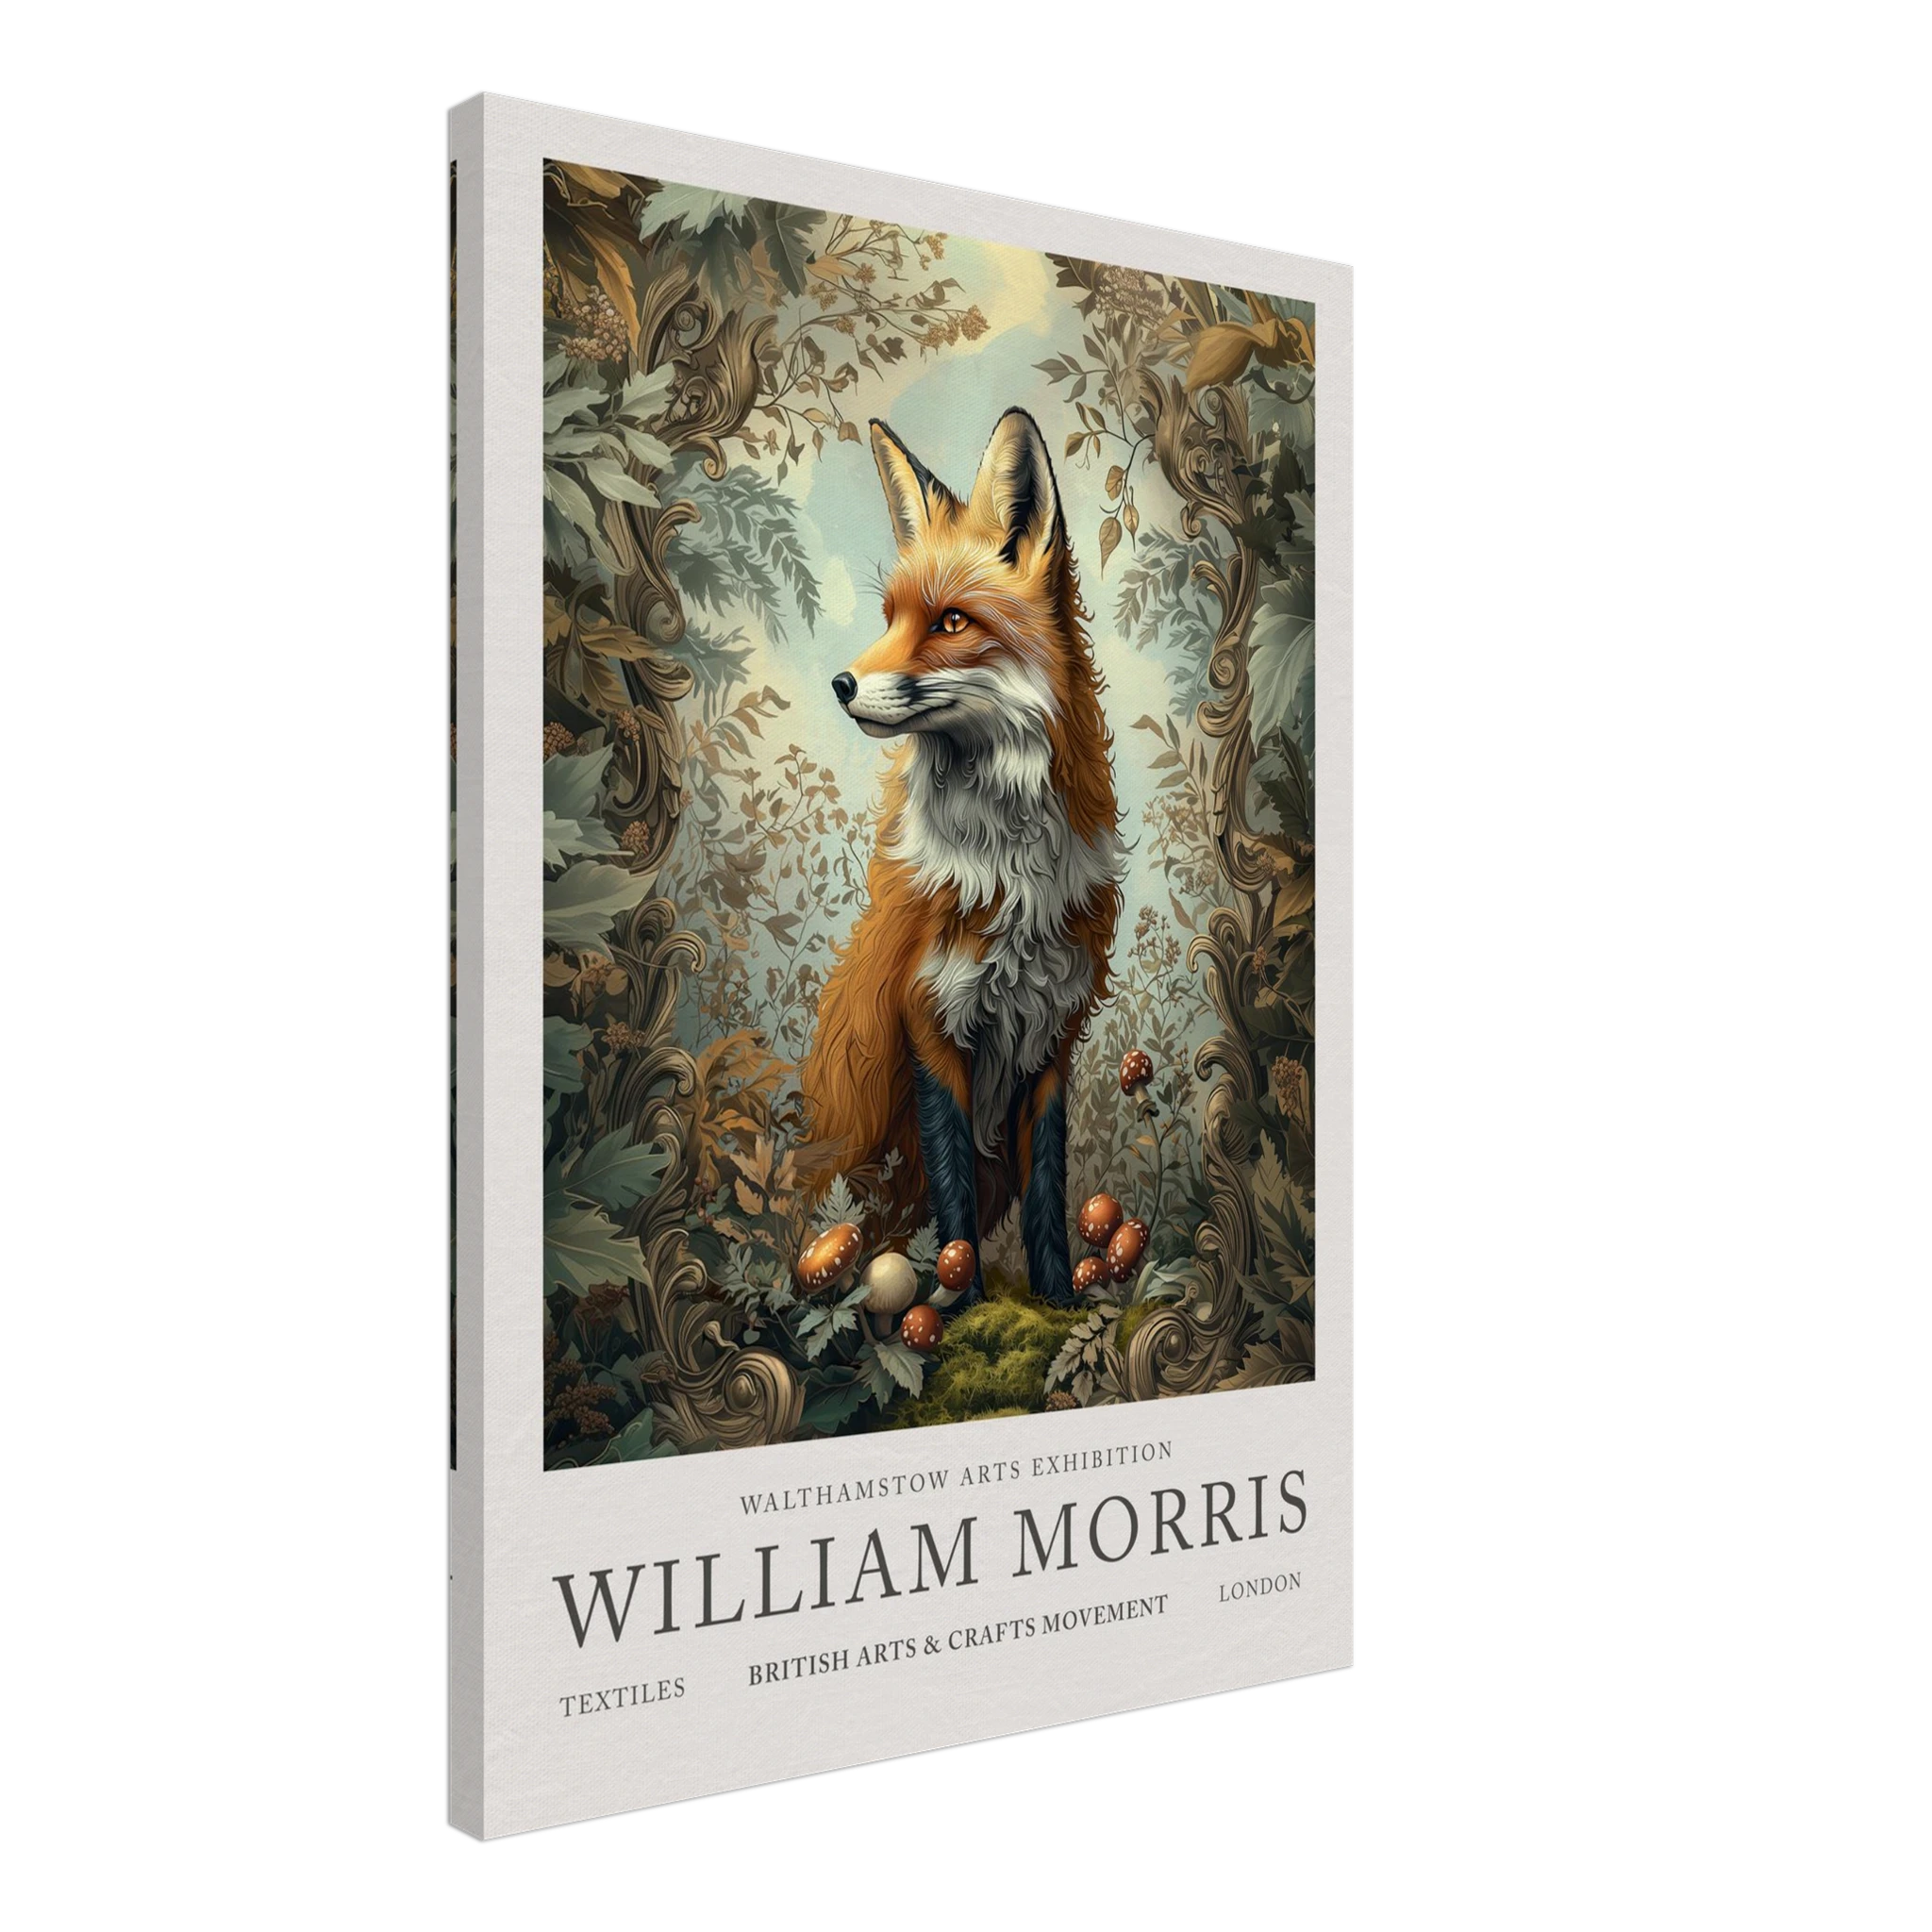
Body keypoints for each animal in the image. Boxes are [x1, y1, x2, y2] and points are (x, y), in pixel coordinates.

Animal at [797, 408, 1123, 1307]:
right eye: (889, 616)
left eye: (949, 623)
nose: (841, 683)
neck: (1007, 871)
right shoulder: (930, 1022)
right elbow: (953, 1205)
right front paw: (967, 1306)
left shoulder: (1053, 1036)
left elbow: (1048, 1192)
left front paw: (1057, 1302)